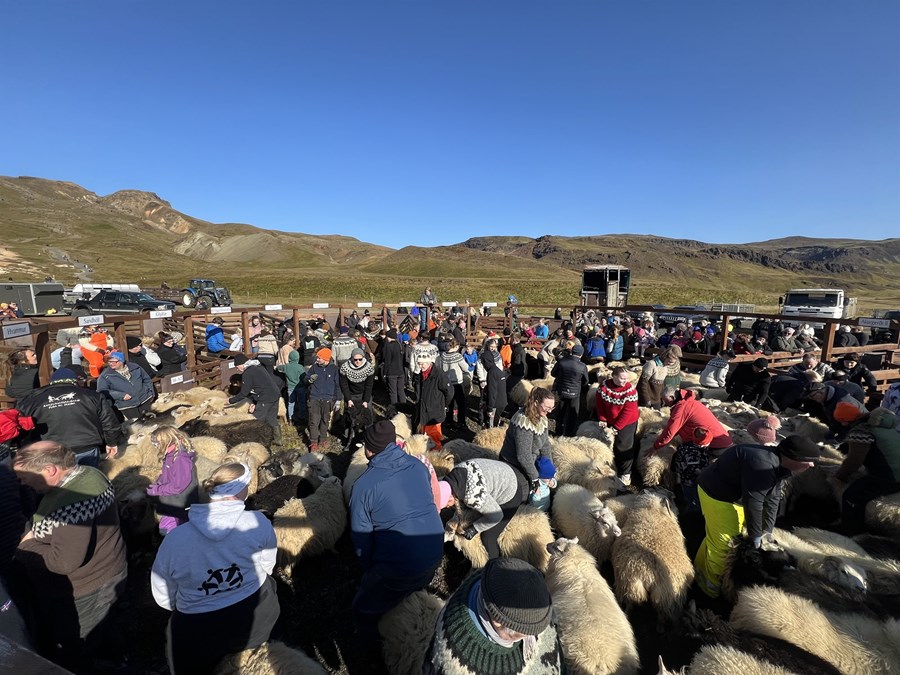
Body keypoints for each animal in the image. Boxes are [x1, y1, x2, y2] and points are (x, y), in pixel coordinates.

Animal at [608, 492, 692, 628]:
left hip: (630, 587)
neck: (653, 510)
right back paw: (661, 627)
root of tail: (647, 574)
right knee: (661, 613)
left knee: (631, 604)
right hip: (665, 597)